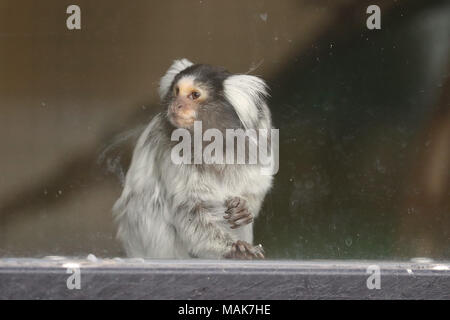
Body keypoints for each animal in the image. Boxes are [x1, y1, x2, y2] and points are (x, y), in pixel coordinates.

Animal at [114, 58, 272, 258]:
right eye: (176, 92)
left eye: (195, 95)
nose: (176, 105)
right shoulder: (171, 153)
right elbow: (188, 209)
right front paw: (233, 247)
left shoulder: (257, 138)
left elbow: (256, 186)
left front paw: (243, 207)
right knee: (147, 200)